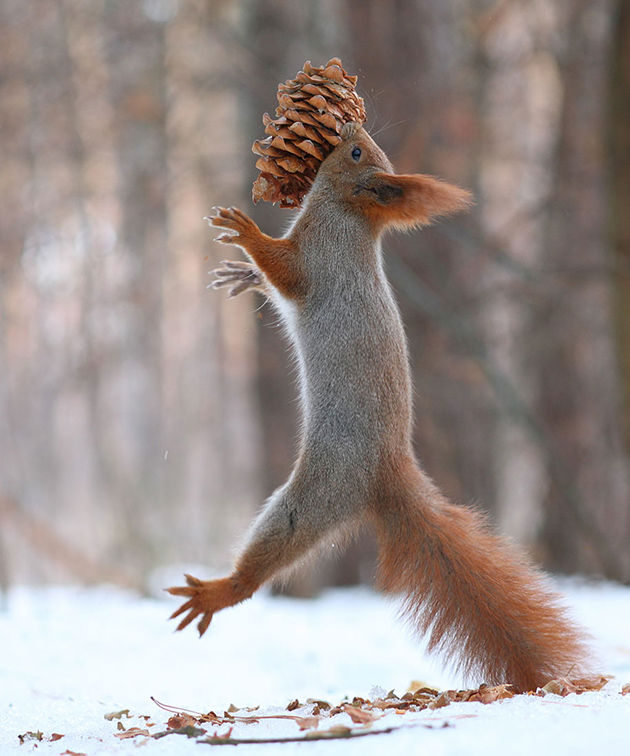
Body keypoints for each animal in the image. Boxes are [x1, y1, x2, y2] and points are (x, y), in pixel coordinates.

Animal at [168, 122, 592, 692]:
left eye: (354, 152)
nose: (350, 125)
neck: (346, 216)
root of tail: (390, 472)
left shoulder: (320, 261)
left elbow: (284, 269)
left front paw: (246, 232)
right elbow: (271, 281)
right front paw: (242, 274)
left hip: (318, 492)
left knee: (274, 548)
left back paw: (219, 590)